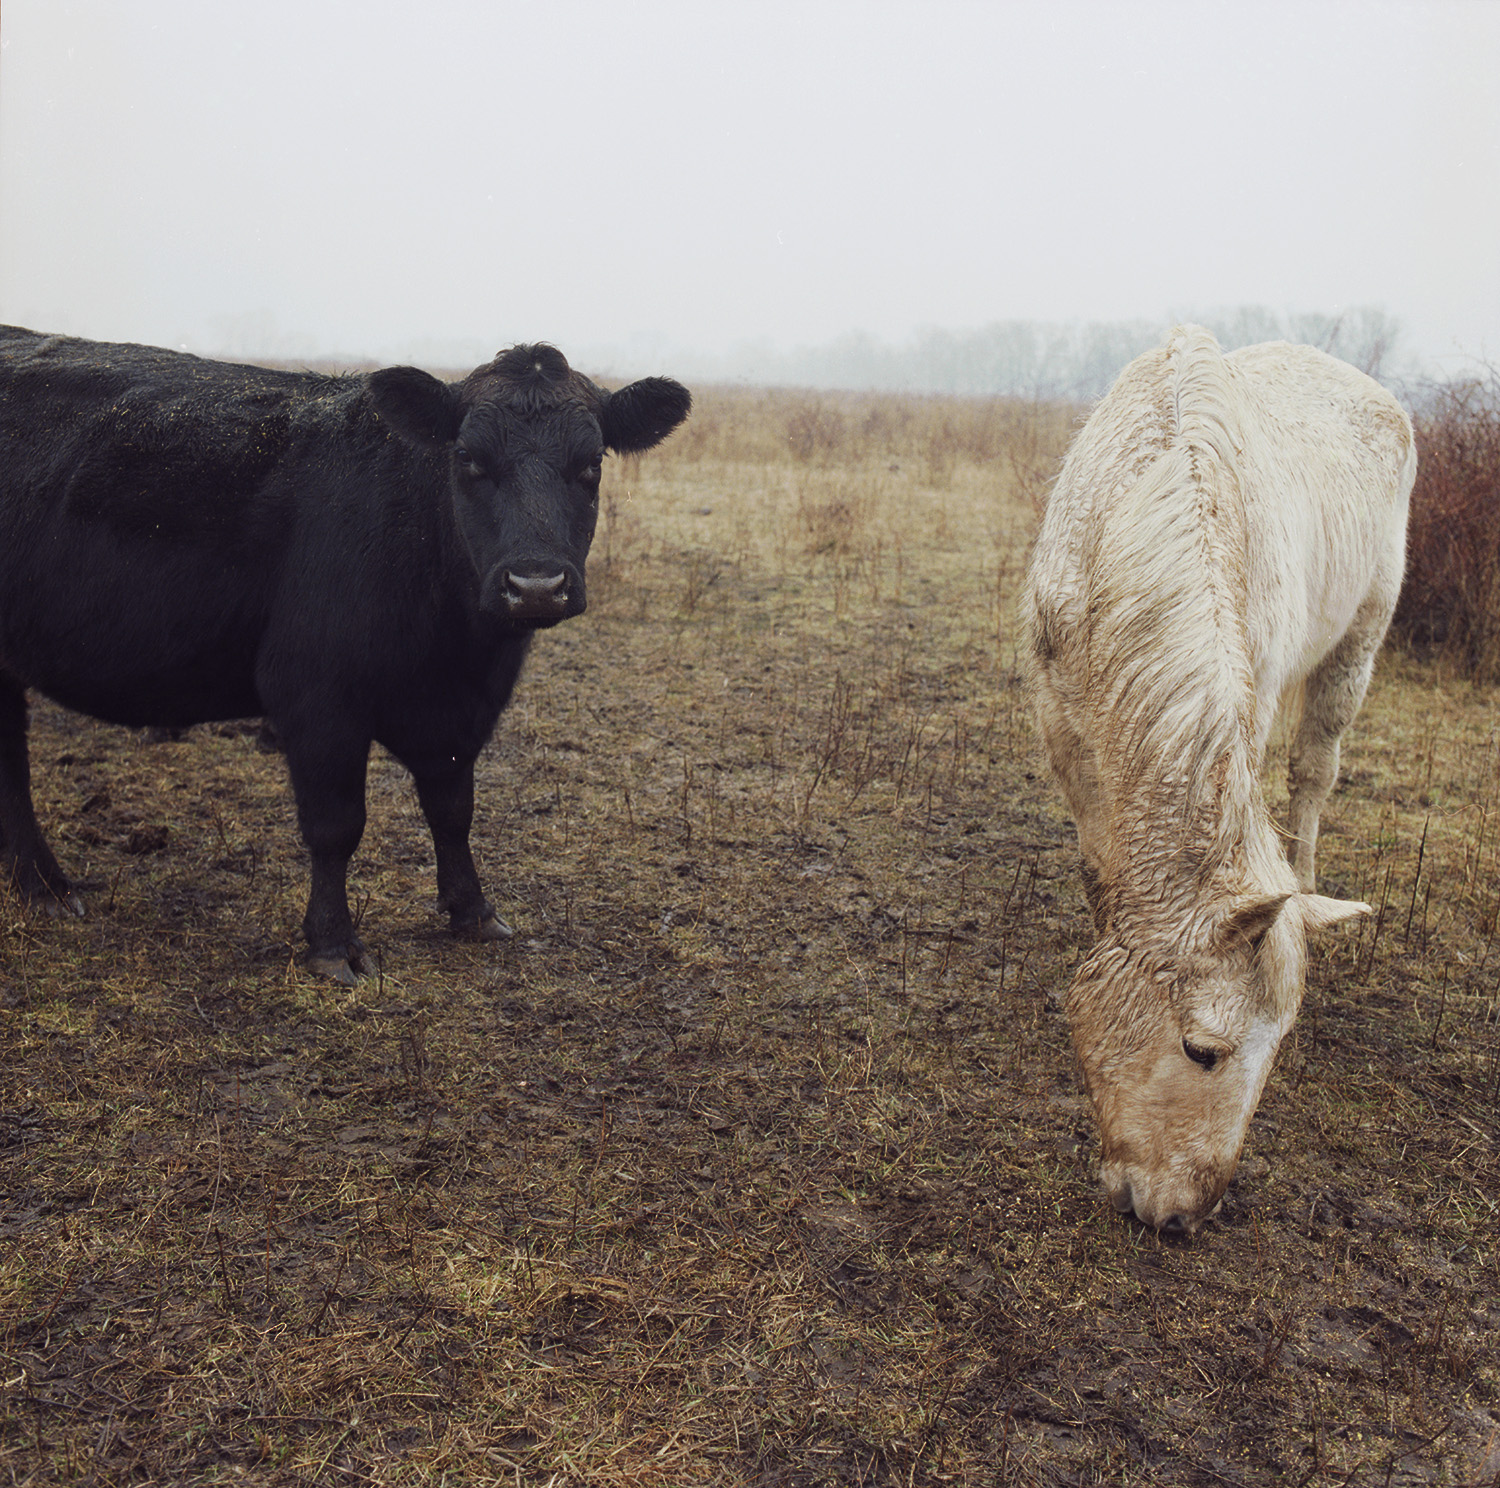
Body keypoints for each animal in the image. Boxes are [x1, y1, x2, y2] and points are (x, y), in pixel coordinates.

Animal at [0, 330, 690, 984]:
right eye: (468, 459)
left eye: (590, 465)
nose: (537, 584)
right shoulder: (315, 697)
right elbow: (336, 827)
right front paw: (333, 944)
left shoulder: (459, 712)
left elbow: (453, 810)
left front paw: (473, 911)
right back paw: (48, 886)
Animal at [1026, 325, 1410, 1230]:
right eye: (1204, 1052)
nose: (1180, 1219)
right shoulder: (1062, 723)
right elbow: (1101, 866)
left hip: (1359, 640)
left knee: (1313, 774)